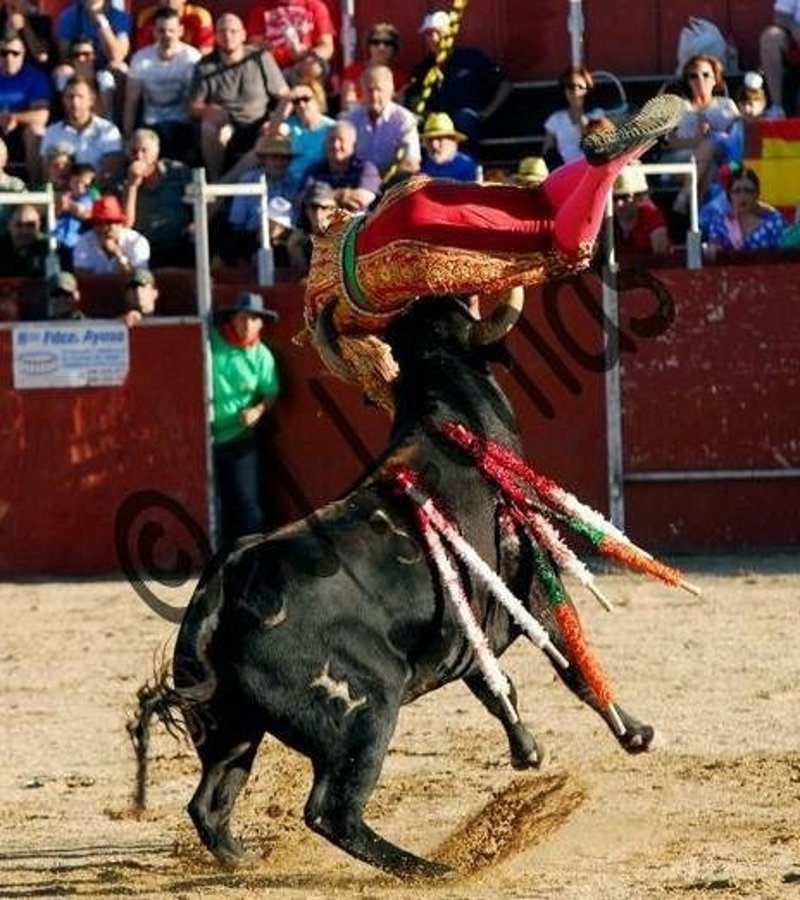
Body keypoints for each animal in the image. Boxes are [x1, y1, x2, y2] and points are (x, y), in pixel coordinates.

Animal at [131, 290, 656, 879]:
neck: (447, 415)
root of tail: (222, 592)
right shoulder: (533, 584)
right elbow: (572, 663)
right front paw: (635, 734)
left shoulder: (467, 629)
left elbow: (496, 688)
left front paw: (528, 752)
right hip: (368, 712)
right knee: (331, 811)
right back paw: (439, 870)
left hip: (232, 728)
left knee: (209, 803)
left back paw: (247, 860)